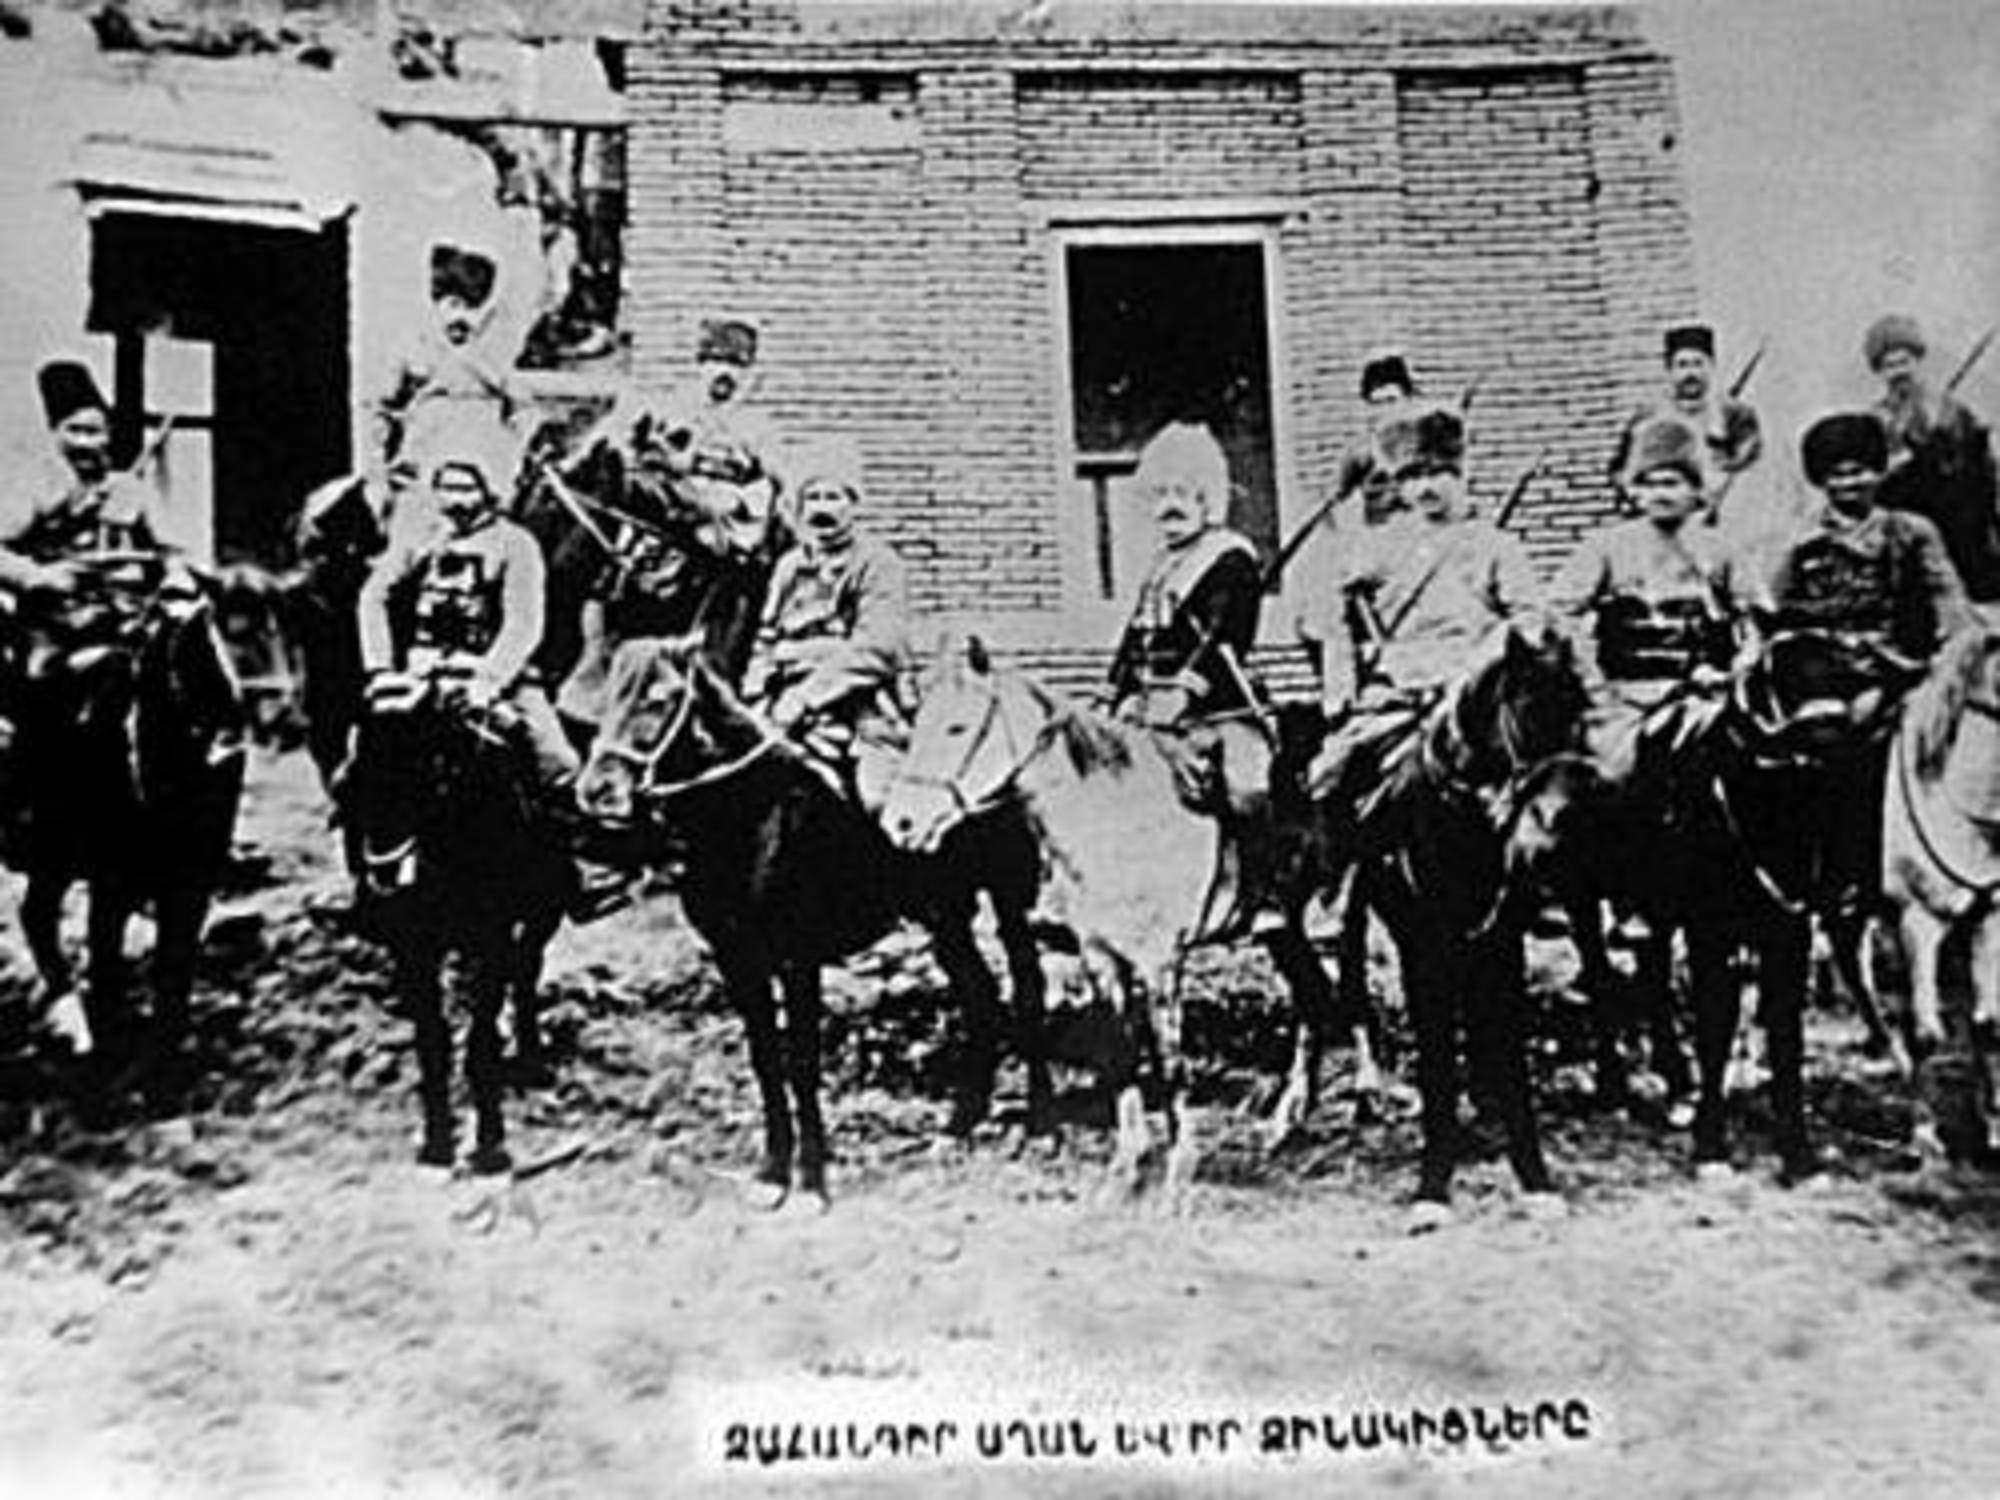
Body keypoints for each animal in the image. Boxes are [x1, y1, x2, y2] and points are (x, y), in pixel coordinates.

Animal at [7, 551, 246, 1080]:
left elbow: (173, 974)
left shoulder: (193, 876)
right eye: (150, 683)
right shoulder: (111, 878)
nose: (222, 749)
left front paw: (165, 1066)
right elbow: (109, 972)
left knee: (35, 912)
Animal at [342, 669, 574, 1172]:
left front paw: (489, 1142)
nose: (385, 871)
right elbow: (432, 1039)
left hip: (544, 911)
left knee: (525, 970)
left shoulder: (492, 938)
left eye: (426, 761)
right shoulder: (411, 949)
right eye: (357, 767)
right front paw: (436, 1137)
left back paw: (531, 1056)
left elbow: (479, 1037)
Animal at [575, 640, 1044, 1205]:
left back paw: (1038, 1122)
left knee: (1027, 988)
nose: (596, 791)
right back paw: (959, 1126)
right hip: (945, 917)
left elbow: (801, 1062)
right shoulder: (736, 960)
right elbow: (765, 1060)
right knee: (981, 1000)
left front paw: (811, 1180)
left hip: (1008, 902)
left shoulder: (797, 960)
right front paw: (773, 1170)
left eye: (660, 696)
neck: (748, 819)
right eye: (608, 695)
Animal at [877, 636, 1383, 1205]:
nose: (899, 824)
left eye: (957, 728)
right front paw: (1125, 1169)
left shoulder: (1161, 960)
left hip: (1331, 917)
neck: (1117, 816)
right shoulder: (1101, 958)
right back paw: (1284, 1126)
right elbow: (1120, 1053)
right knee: (1315, 1000)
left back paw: (1355, 1102)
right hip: (1283, 928)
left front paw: (1180, 1170)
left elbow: (1168, 1058)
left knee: (1342, 997)